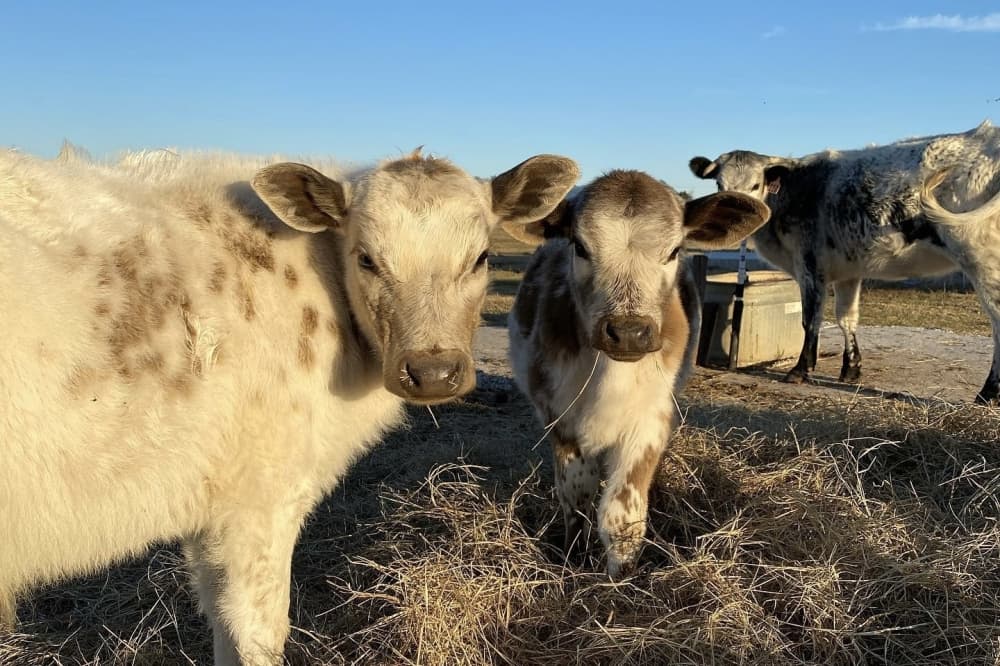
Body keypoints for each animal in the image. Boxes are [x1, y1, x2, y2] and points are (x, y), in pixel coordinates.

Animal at [504, 171, 770, 577]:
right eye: (580, 247)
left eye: (674, 250)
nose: (628, 331)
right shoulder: (560, 419)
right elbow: (576, 496)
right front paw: (573, 560)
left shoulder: (651, 419)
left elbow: (622, 515)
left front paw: (620, 581)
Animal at [689, 120, 1000, 400]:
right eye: (719, 184)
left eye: (756, 184)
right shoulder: (848, 269)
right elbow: (846, 318)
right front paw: (851, 369)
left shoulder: (809, 265)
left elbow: (810, 319)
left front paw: (801, 370)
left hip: (980, 260)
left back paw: (989, 393)